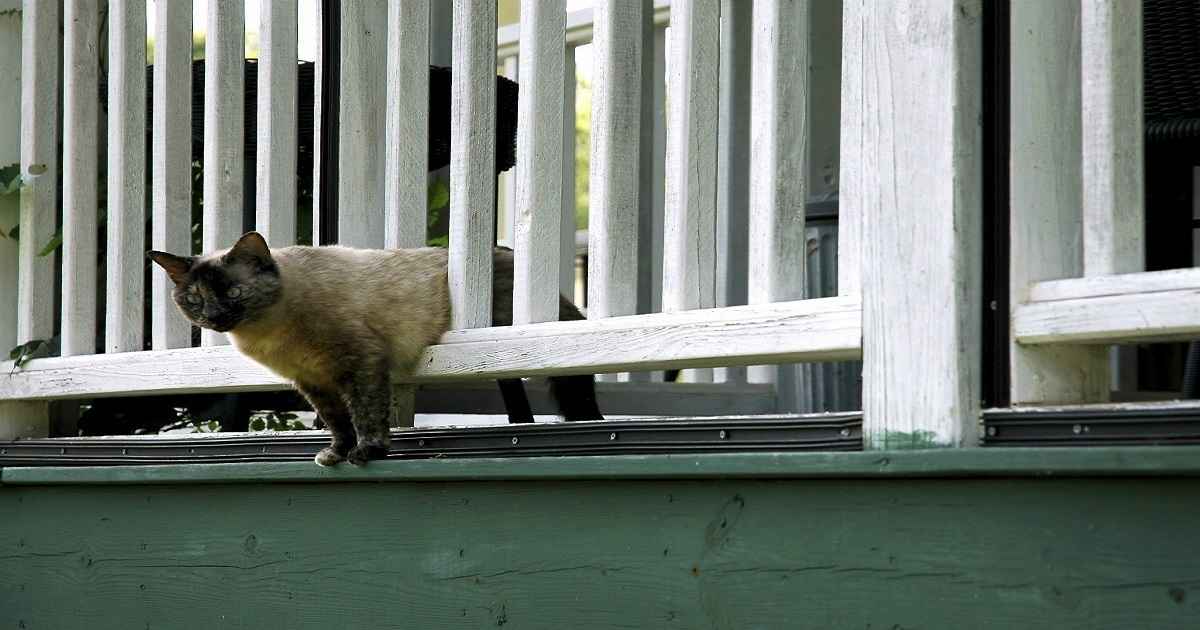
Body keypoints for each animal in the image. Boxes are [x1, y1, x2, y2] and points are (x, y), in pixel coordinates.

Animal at [150, 231, 600, 465]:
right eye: (194, 300)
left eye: (235, 293)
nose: (214, 318)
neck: (269, 335)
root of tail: (506, 252)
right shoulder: (313, 382)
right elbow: (337, 421)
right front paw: (335, 454)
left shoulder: (359, 362)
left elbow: (365, 414)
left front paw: (366, 453)